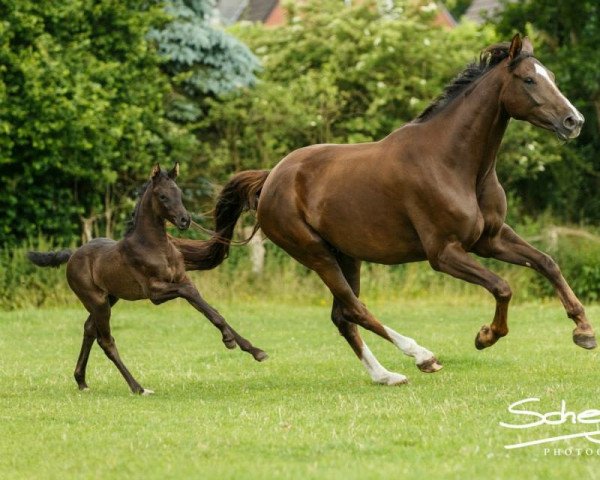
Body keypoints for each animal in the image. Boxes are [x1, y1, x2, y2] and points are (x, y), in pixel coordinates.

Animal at [28, 163, 268, 396]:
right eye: (162, 196)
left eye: (179, 193)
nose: (185, 220)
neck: (156, 246)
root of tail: (72, 255)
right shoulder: (155, 292)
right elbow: (192, 296)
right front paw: (229, 340)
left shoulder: (182, 280)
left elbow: (210, 310)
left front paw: (253, 349)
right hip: (97, 301)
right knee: (105, 340)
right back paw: (138, 387)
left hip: (110, 298)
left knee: (89, 329)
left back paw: (81, 381)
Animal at [172, 34, 596, 386]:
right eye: (528, 80)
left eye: (550, 76)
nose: (574, 121)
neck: (456, 163)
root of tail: (271, 177)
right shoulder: (444, 253)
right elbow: (503, 287)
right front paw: (485, 336)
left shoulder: (490, 238)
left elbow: (546, 262)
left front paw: (584, 332)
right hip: (315, 253)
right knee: (355, 309)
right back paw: (422, 357)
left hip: (346, 255)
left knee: (343, 316)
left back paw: (386, 376)